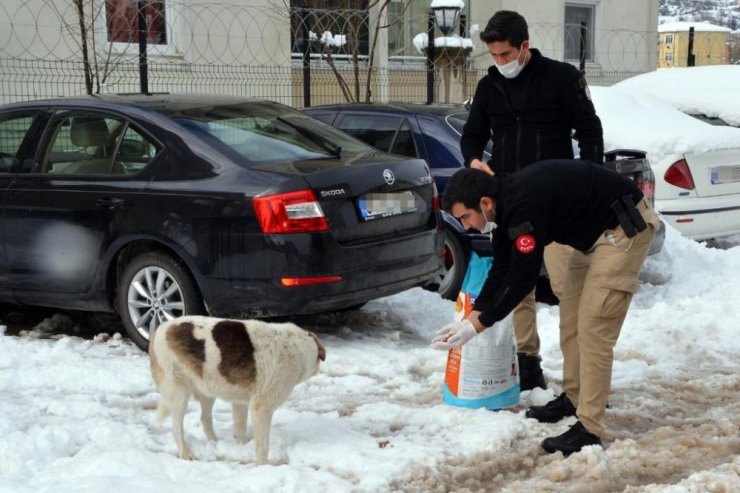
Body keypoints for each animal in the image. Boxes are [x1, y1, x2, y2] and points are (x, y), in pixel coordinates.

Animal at [149, 316, 326, 462]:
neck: (294, 347)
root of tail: (161, 328)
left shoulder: (241, 403)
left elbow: (240, 431)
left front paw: (242, 448)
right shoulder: (262, 409)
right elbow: (263, 447)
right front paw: (262, 468)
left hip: (208, 389)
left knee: (205, 418)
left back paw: (215, 443)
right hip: (179, 394)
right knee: (176, 429)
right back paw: (185, 453)